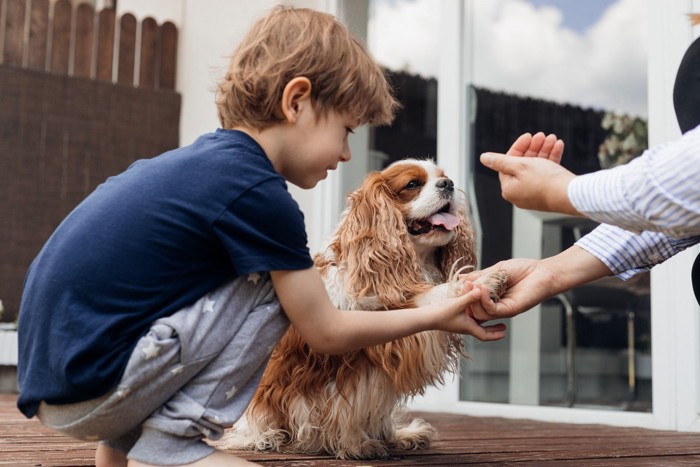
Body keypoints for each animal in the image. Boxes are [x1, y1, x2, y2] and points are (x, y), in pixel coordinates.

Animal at [213, 159, 508, 458]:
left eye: (443, 177)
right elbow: (429, 298)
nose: (448, 184)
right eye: (412, 184)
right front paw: (478, 283)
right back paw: (271, 437)